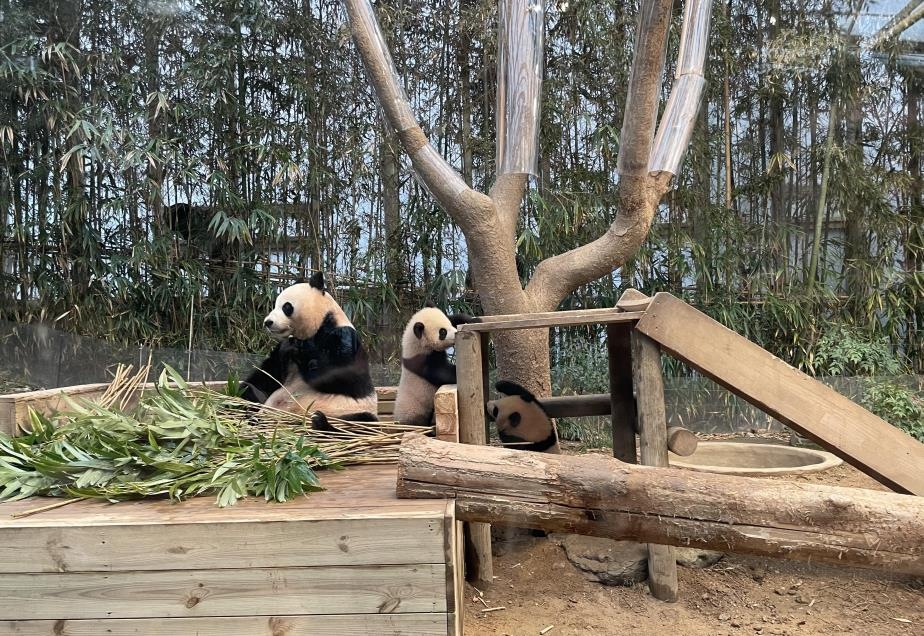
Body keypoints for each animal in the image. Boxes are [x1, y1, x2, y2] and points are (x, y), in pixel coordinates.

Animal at [244, 270, 380, 430]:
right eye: (274, 304)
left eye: (286, 307)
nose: (268, 322)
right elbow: (270, 374)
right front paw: (291, 348)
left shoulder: (343, 337)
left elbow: (344, 377)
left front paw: (303, 352)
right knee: (250, 389)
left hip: (349, 412)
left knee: (362, 422)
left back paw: (320, 423)